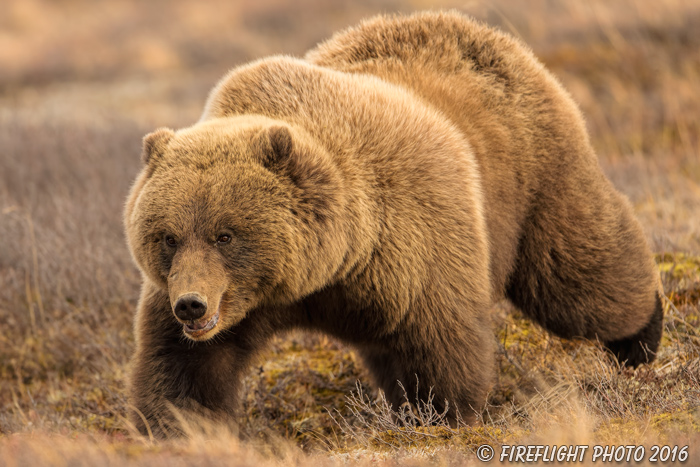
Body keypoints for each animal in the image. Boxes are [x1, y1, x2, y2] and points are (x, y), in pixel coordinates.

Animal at [123, 10, 664, 436]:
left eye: (226, 234)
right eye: (168, 237)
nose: (192, 305)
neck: (325, 269)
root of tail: (482, 31)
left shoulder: (412, 245)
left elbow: (438, 346)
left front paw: (441, 416)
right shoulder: (236, 303)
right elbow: (185, 369)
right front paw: (178, 427)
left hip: (534, 176)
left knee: (577, 276)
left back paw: (641, 338)